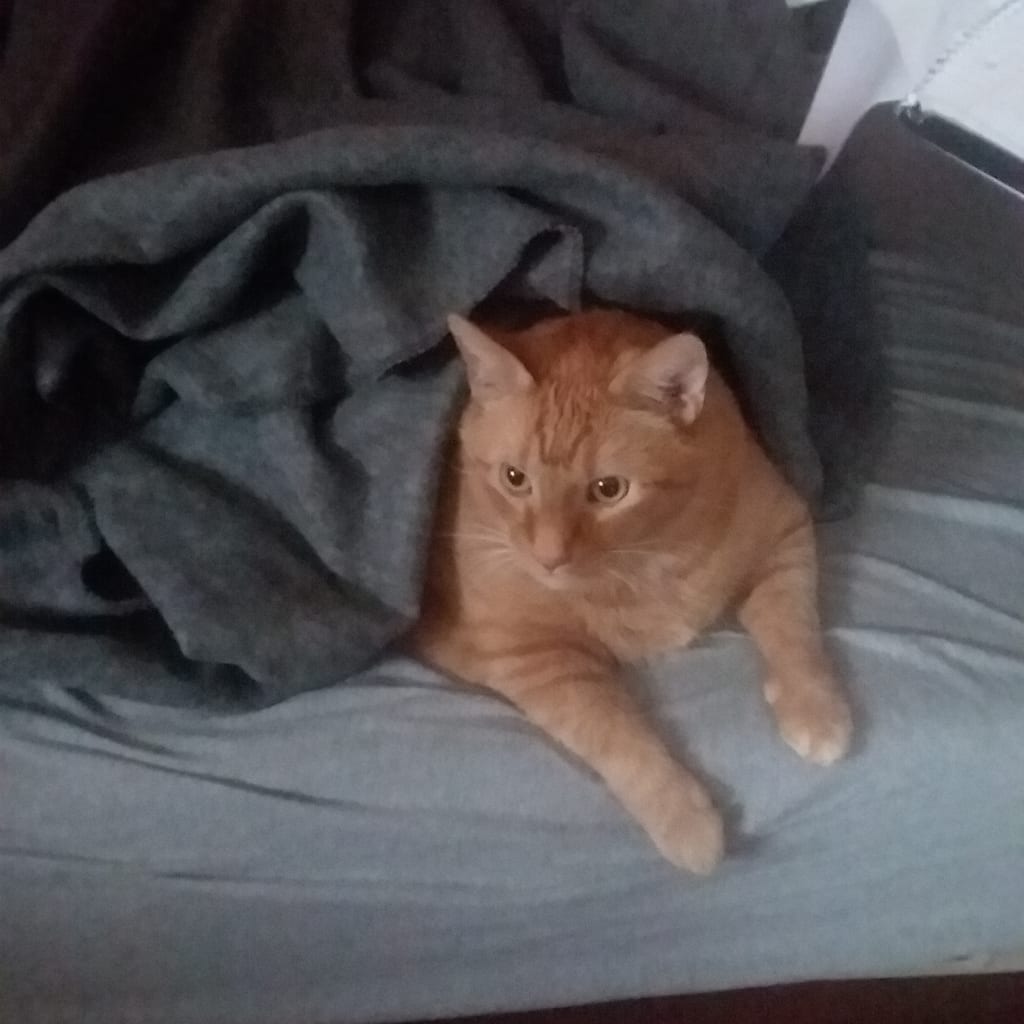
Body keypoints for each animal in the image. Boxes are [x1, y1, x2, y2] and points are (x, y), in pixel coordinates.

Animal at [412, 308, 852, 873]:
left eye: (609, 490)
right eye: (514, 479)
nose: (549, 557)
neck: (643, 563)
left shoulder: (784, 534)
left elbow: (793, 629)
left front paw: (815, 708)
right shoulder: (535, 656)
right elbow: (618, 732)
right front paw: (684, 818)